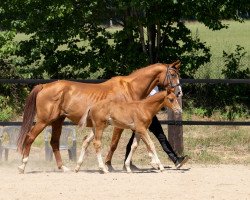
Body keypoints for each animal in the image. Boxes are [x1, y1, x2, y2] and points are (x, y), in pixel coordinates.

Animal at [17, 60, 182, 173]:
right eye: (173, 75)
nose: (179, 92)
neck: (129, 88)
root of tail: (44, 86)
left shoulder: (133, 124)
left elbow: (136, 143)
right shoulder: (119, 126)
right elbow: (114, 144)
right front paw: (108, 165)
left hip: (58, 120)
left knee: (54, 142)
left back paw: (63, 167)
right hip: (44, 120)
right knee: (30, 137)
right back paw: (22, 165)